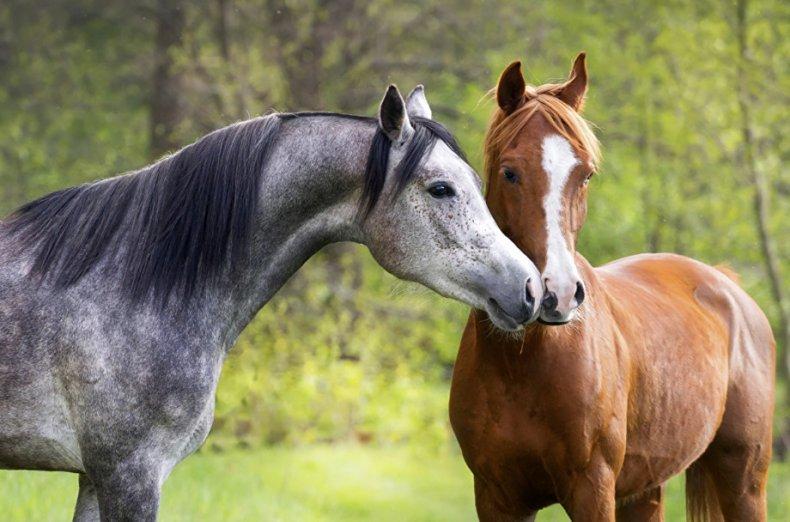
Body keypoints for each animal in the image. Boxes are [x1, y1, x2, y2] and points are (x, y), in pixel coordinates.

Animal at [452, 53, 780, 520]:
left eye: (585, 175)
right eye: (510, 173)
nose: (558, 295)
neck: (520, 365)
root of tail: (729, 288)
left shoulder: (592, 490)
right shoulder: (497, 497)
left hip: (744, 481)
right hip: (646, 488)